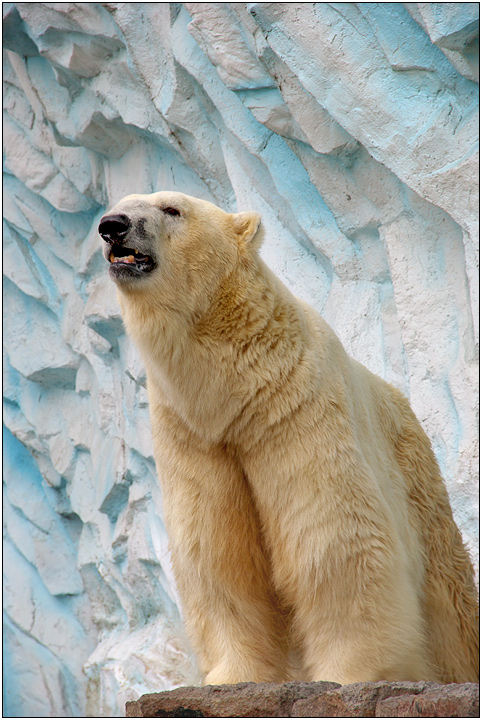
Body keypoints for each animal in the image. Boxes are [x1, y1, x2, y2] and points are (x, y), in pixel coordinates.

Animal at [99, 191, 478, 688]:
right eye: (118, 204)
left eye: (171, 209)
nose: (112, 225)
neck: (234, 389)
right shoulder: (193, 435)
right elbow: (216, 555)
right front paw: (230, 676)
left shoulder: (295, 409)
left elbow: (334, 537)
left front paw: (350, 673)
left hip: (417, 480)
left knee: (448, 597)